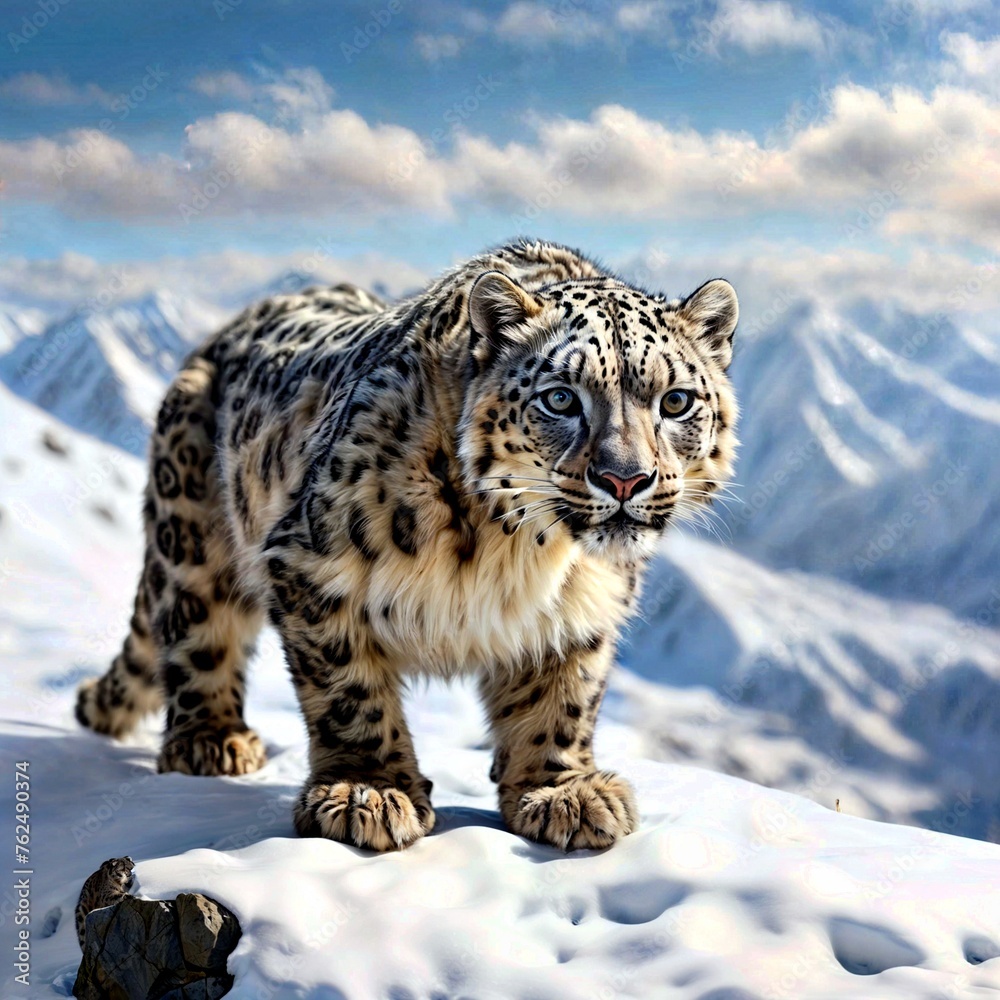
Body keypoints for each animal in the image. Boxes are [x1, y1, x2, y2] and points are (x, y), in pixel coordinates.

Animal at [75, 239, 739, 852]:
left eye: (676, 401)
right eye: (560, 398)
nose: (625, 479)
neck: (523, 552)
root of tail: (223, 332)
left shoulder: (584, 607)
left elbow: (565, 695)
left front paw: (560, 792)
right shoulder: (311, 567)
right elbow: (348, 691)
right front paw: (368, 791)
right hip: (194, 533)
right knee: (199, 628)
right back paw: (212, 740)